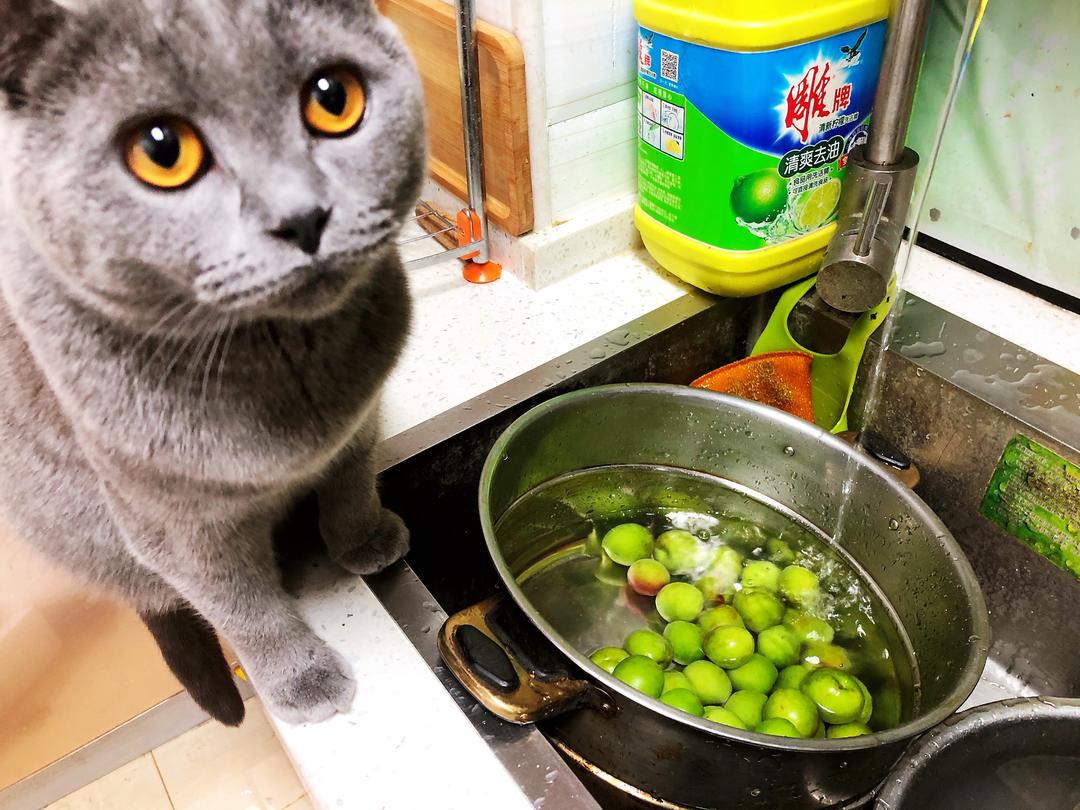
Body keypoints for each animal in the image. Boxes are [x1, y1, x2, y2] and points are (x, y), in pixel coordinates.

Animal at [0, 0, 426, 725]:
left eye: (333, 99)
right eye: (161, 151)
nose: (302, 217)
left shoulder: (359, 423)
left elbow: (351, 485)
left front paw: (363, 541)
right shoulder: (175, 525)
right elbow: (242, 607)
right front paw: (304, 682)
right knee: (155, 596)